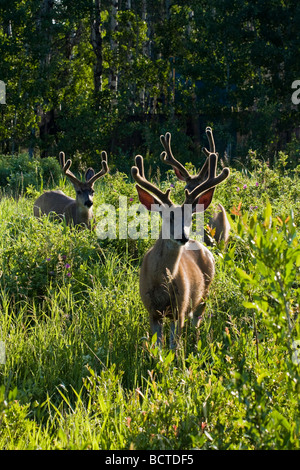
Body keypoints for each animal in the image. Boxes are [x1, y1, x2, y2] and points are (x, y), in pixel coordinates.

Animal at [132, 138, 230, 346]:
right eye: (168, 216)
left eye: (189, 218)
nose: (182, 237)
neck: (160, 285)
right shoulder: (152, 311)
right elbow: (158, 346)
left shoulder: (180, 309)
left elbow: (174, 346)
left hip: (204, 293)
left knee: (197, 322)